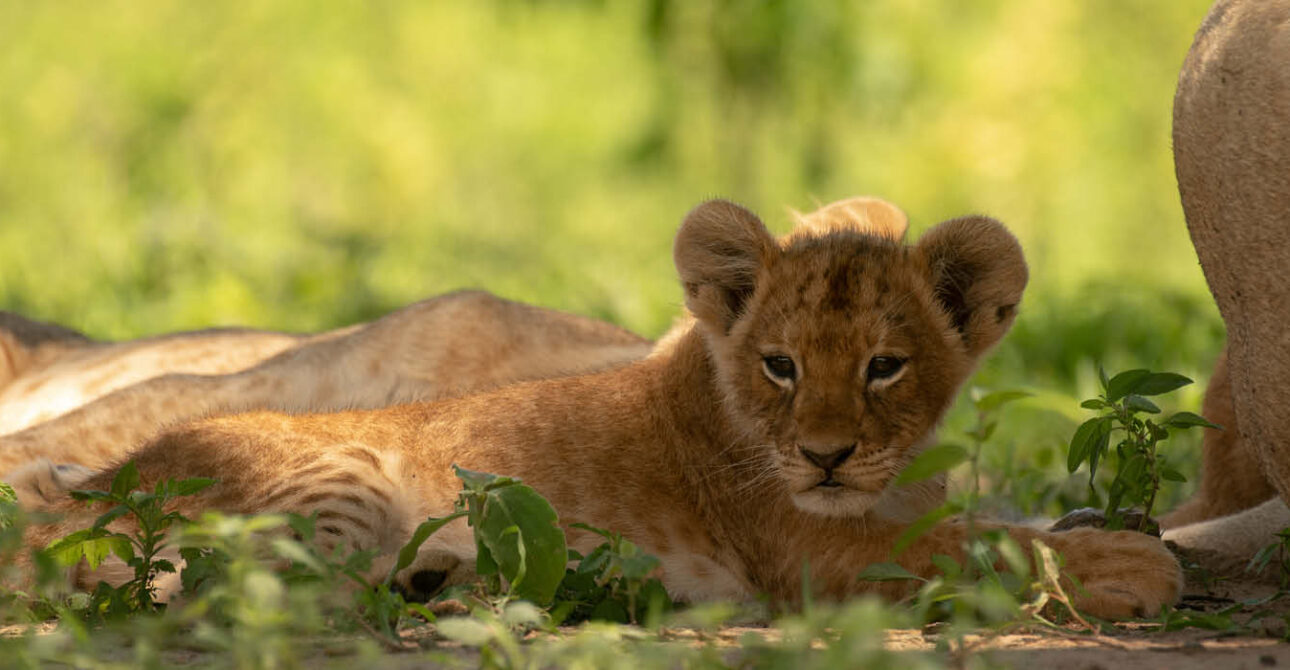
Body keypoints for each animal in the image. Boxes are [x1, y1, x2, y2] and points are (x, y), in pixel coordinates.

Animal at [19, 199, 1181, 620]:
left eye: (886, 368)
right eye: (781, 365)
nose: (826, 456)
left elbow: (999, 518)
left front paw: (1112, 527)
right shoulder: (810, 550)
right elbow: (980, 543)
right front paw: (1131, 564)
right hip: (334, 479)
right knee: (216, 591)